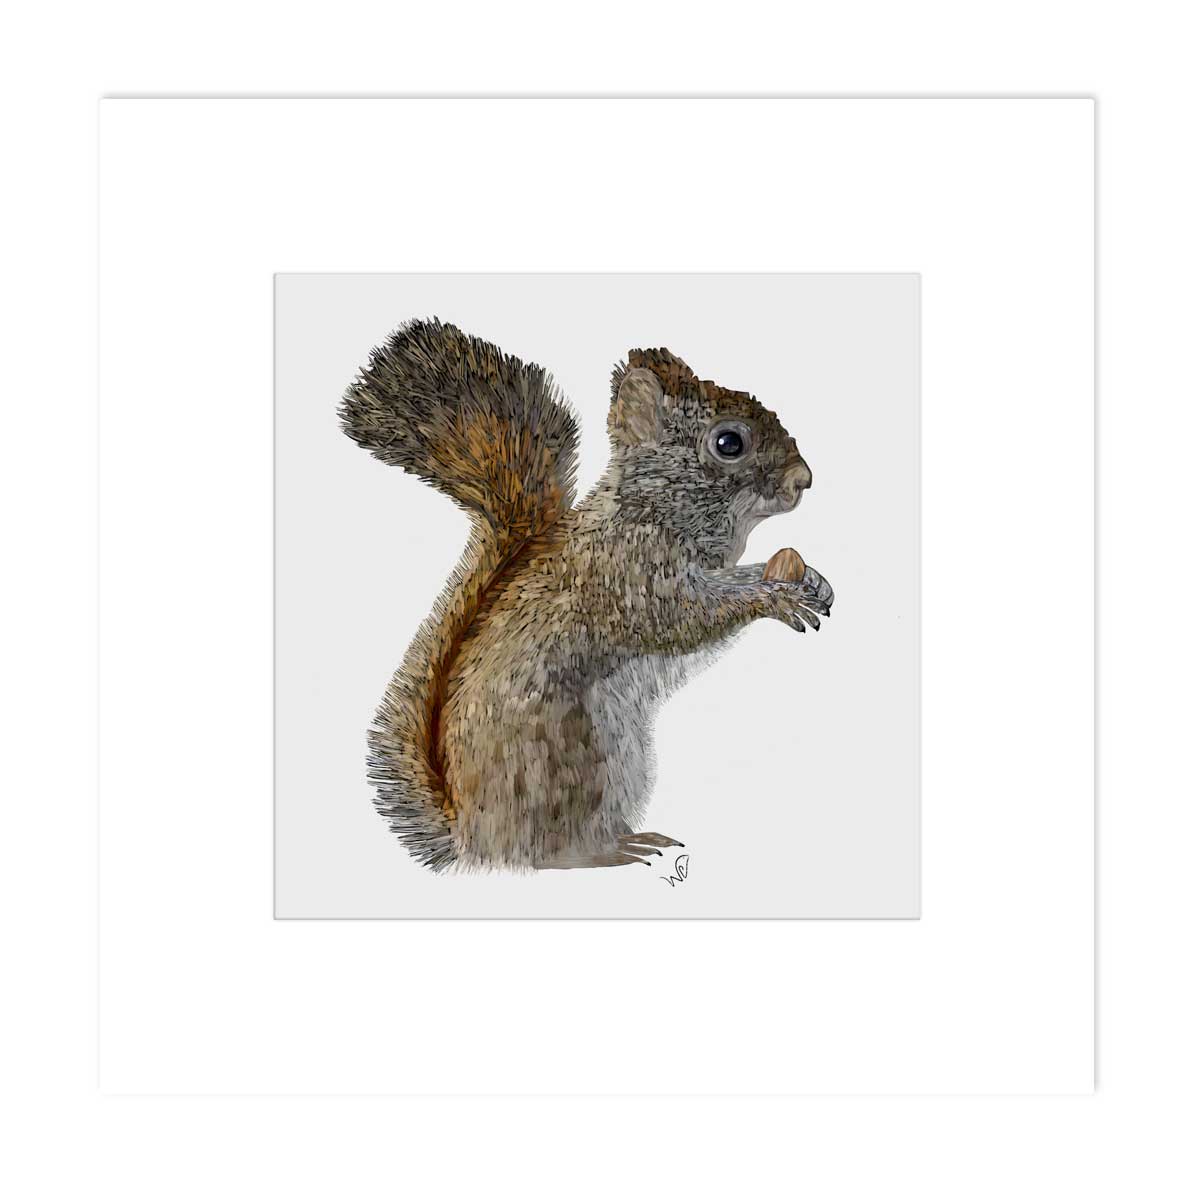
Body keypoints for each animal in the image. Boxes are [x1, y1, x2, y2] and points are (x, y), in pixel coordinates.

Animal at [340, 319, 834, 873]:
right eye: (729, 442)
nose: (804, 480)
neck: (648, 509)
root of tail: (472, 834)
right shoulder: (627, 576)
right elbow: (686, 616)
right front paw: (777, 598)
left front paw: (808, 579)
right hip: (570, 759)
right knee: (549, 853)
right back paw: (613, 850)